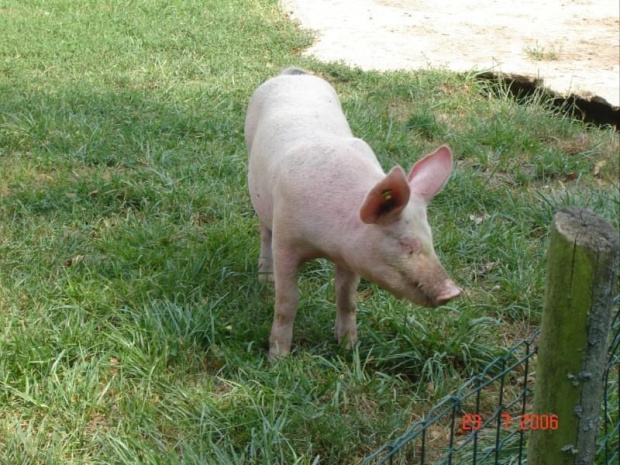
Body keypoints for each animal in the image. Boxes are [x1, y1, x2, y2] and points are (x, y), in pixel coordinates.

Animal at [246, 68, 460, 358]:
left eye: (431, 240)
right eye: (405, 243)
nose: (453, 292)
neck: (326, 243)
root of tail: (293, 73)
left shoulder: (350, 256)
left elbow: (346, 297)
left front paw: (350, 348)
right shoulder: (286, 241)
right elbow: (288, 301)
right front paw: (277, 358)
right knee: (264, 231)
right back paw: (265, 281)